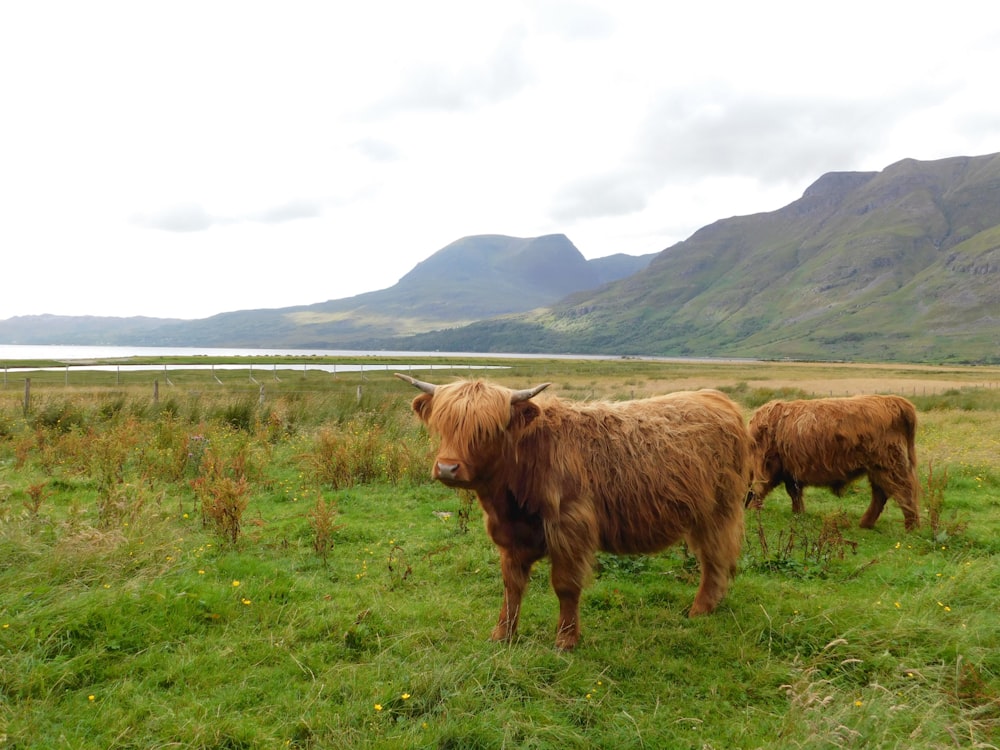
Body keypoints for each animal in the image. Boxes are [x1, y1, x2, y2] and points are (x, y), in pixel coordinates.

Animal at [744, 396, 920, 532]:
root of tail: (894, 401)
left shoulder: (767, 465)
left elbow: (760, 487)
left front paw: (753, 511)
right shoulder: (790, 472)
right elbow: (794, 493)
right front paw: (798, 513)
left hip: (888, 465)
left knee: (905, 492)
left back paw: (911, 528)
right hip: (877, 469)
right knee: (881, 494)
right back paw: (865, 524)